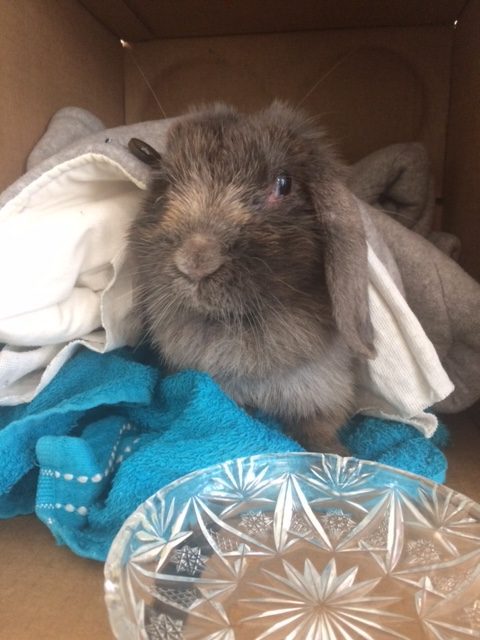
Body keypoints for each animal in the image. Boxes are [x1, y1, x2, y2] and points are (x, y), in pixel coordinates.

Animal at [128, 102, 375, 453]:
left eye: (283, 184)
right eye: (167, 186)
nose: (195, 260)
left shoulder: (323, 396)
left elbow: (317, 430)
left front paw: (335, 454)